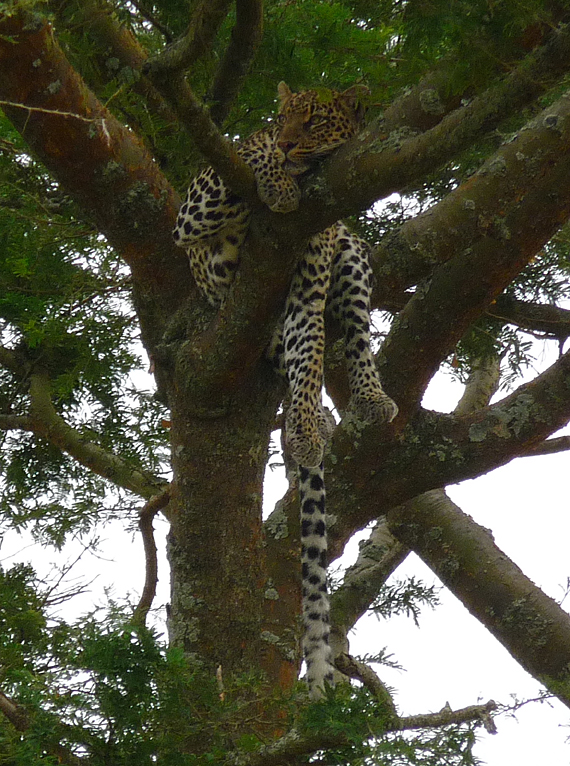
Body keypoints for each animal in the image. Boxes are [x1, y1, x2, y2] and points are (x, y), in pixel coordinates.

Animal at [171, 84, 398, 704]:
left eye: (315, 120)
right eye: (283, 117)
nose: (293, 141)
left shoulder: (309, 276)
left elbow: (314, 356)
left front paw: (304, 428)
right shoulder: (196, 205)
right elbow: (252, 157)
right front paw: (276, 179)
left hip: (347, 254)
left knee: (351, 335)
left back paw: (363, 403)